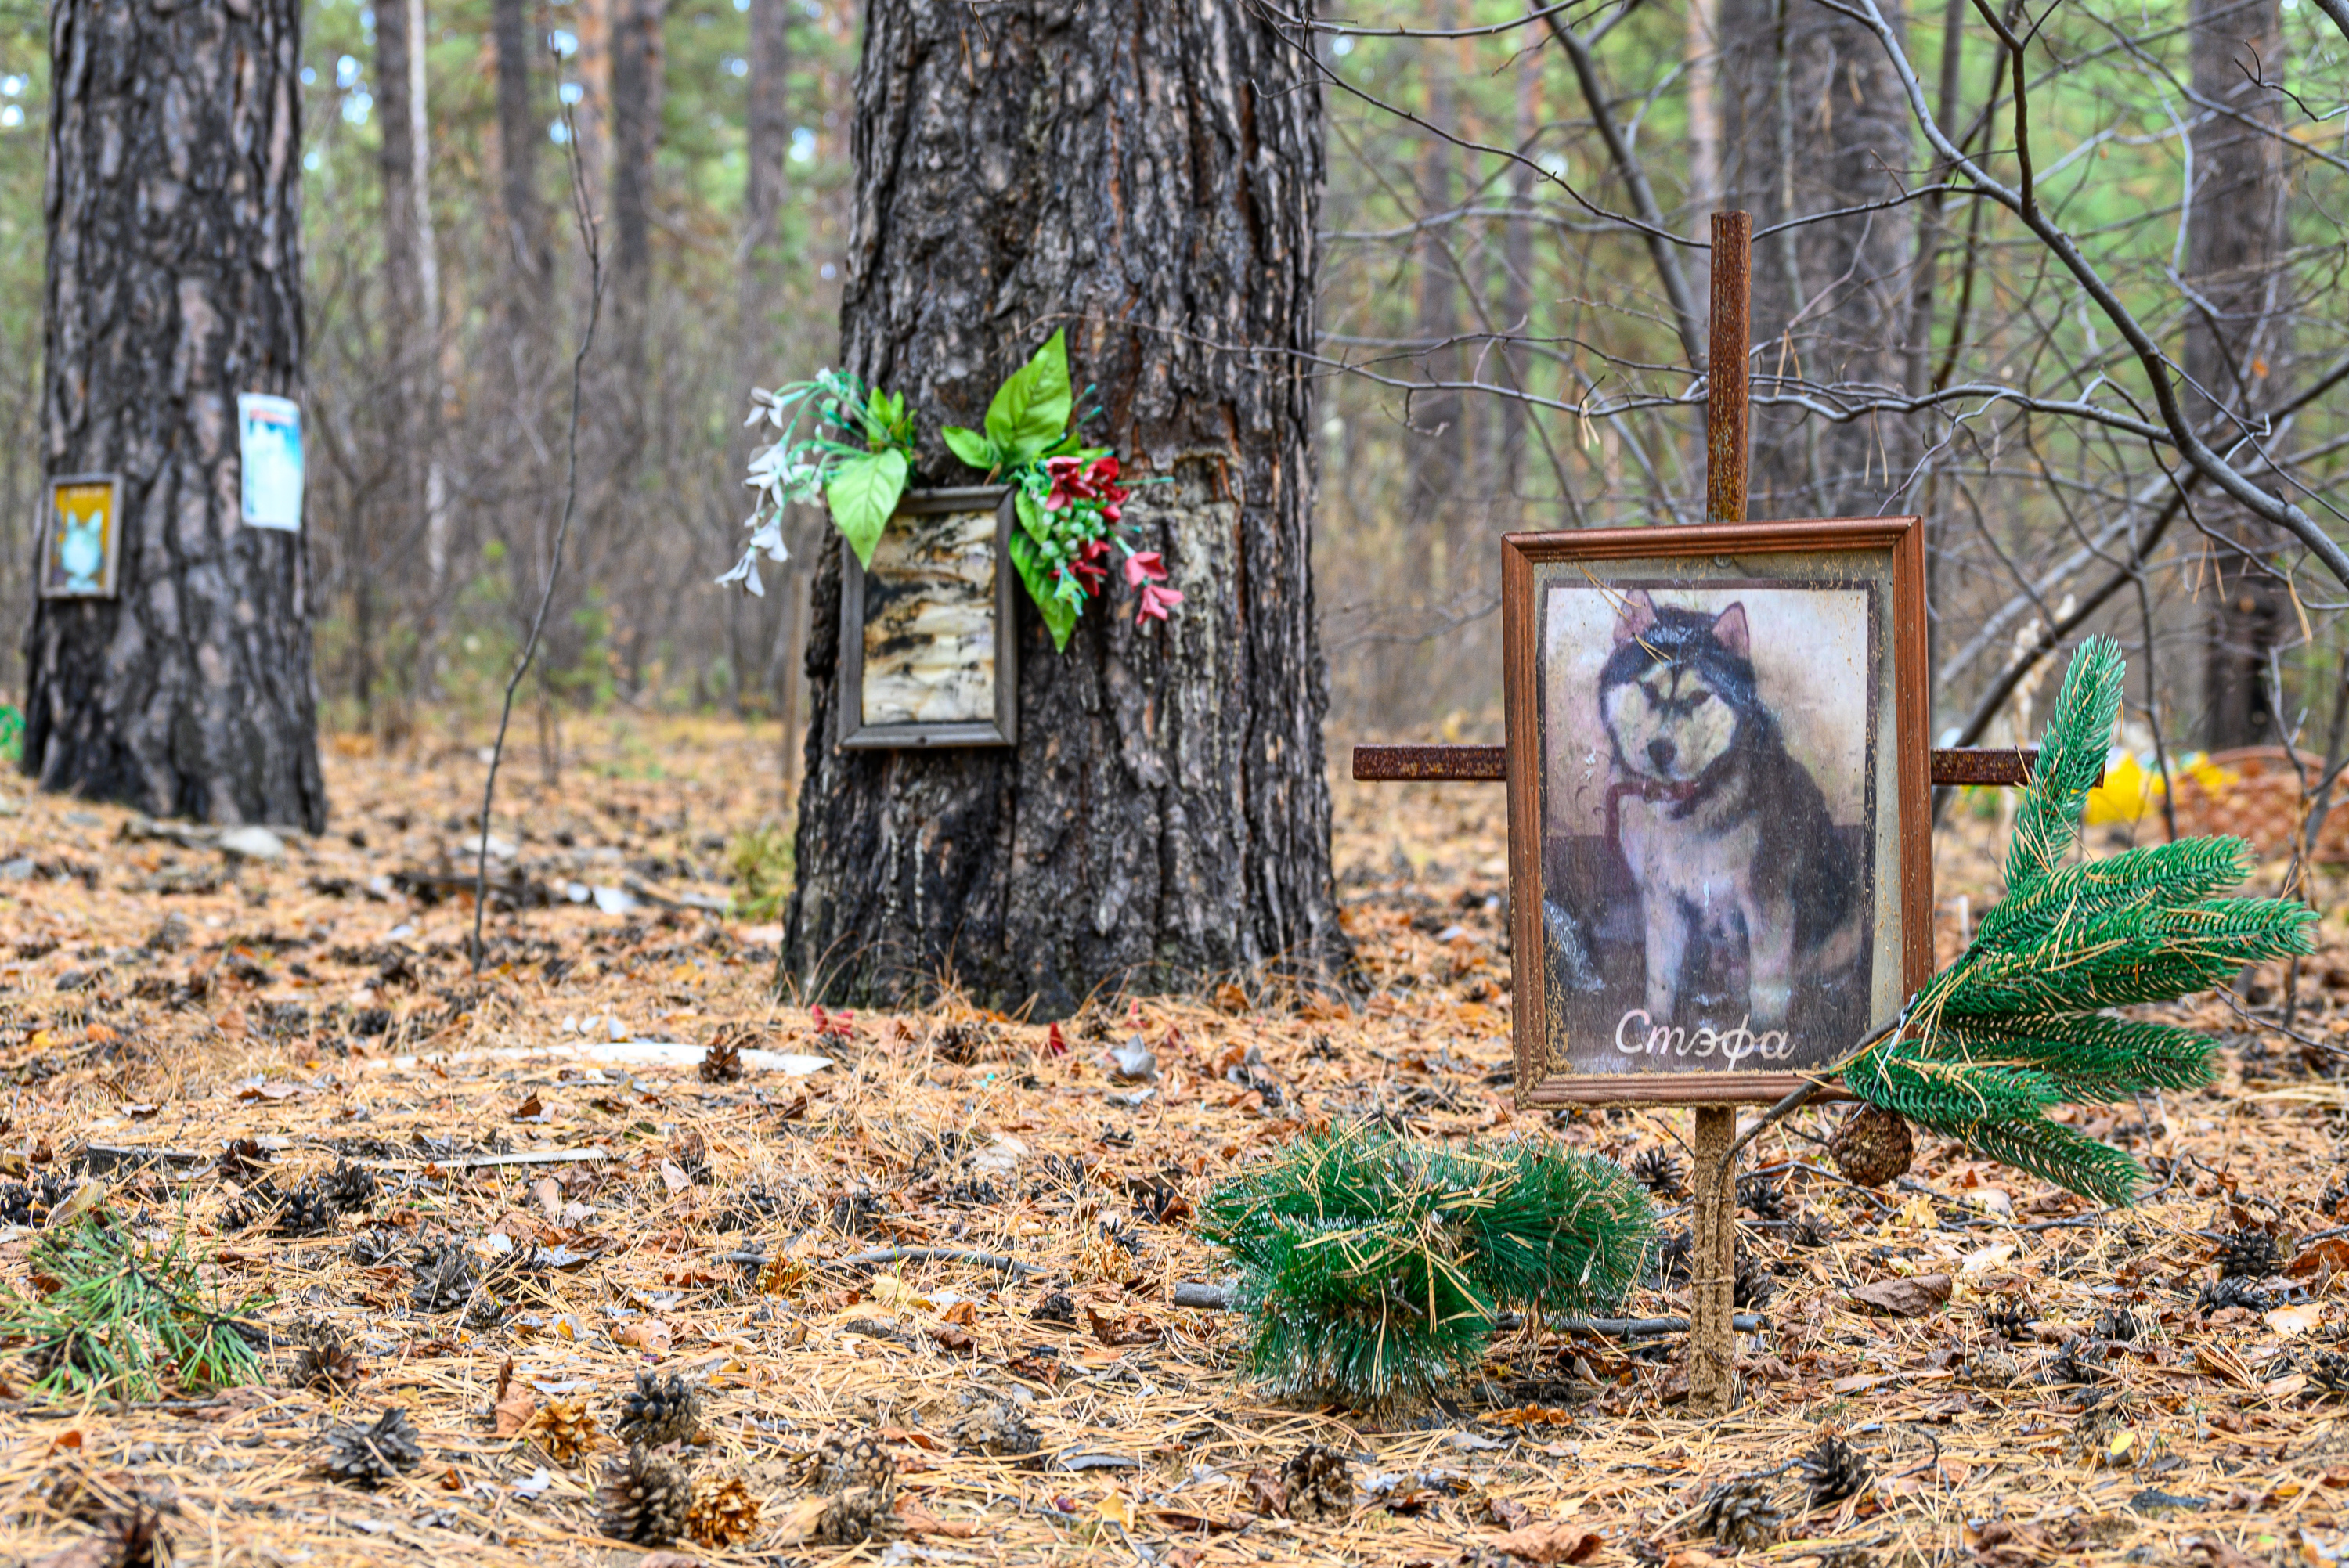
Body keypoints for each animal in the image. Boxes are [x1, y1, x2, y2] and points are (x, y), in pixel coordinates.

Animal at [1607, 586, 1860, 1028]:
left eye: (1698, 696)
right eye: (1649, 691)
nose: (1660, 750)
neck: (1687, 804)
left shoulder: (1767, 897)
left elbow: (1769, 980)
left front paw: (1765, 1035)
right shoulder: (1660, 896)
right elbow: (1660, 974)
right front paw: (1657, 1026)